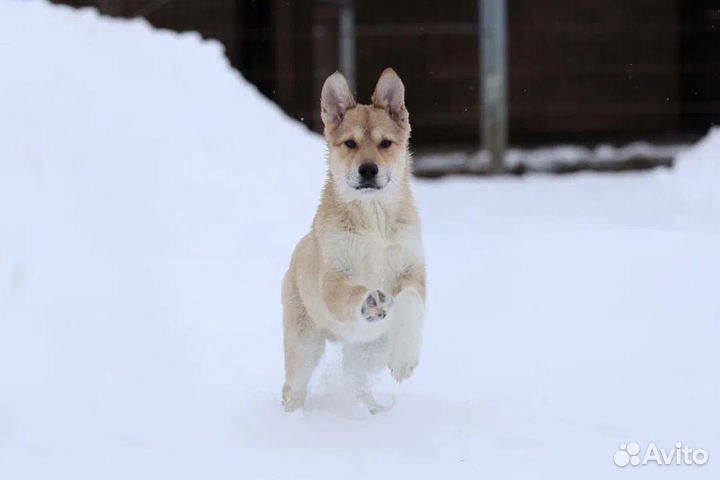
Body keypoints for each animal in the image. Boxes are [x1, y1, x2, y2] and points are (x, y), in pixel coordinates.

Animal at [282, 68, 428, 412]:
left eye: (386, 143)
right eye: (350, 143)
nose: (368, 170)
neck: (374, 222)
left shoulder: (413, 270)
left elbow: (410, 300)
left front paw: (404, 360)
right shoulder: (333, 276)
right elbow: (348, 293)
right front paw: (370, 302)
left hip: (368, 348)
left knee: (356, 379)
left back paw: (370, 409)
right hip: (304, 346)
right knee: (292, 387)